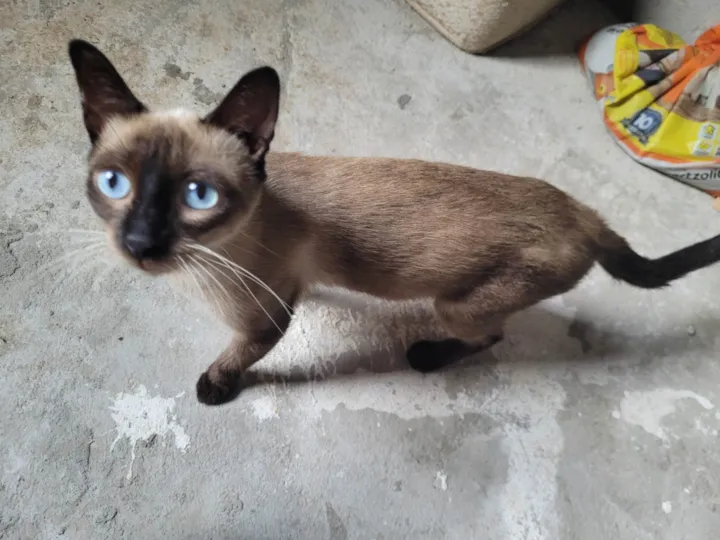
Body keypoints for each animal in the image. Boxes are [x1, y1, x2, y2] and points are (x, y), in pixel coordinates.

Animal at [68, 39, 720, 405]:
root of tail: (585, 213)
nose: (140, 243)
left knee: (489, 336)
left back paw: (425, 357)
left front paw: (214, 387)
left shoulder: (267, 318)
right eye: (114, 185)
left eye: (198, 196)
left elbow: (236, 357)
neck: (204, 267)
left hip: (457, 305)